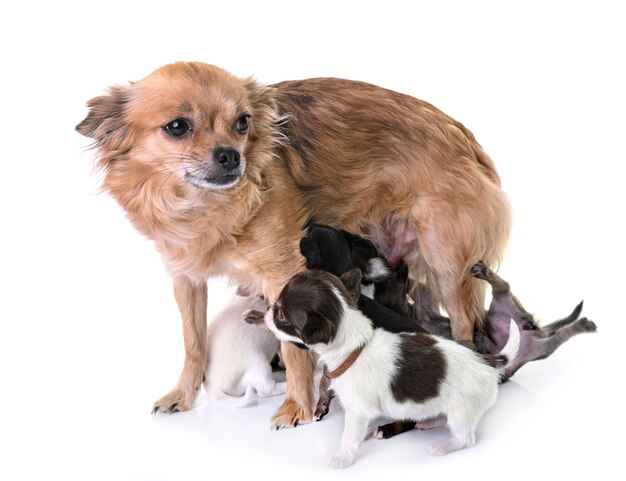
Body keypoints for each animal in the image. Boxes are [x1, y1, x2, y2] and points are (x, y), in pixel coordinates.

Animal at [75, 62, 510, 426]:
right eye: (178, 126)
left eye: (243, 123)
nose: (231, 156)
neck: (207, 207)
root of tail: (461, 134)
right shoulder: (186, 278)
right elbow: (193, 342)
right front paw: (182, 394)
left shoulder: (282, 275)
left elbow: (294, 348)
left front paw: (296, 406)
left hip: (446, 263)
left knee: (464, 322)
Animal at [244, 268, 516, 466]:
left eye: (282, 315)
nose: (268, 309)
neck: (354, 348)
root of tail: (488, 361)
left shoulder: (357, 411)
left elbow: (348, 436)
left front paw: (342, 458)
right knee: (441, 416)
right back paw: (429, 423)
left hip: (462, 409)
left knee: (466, 438)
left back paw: (443, 445)